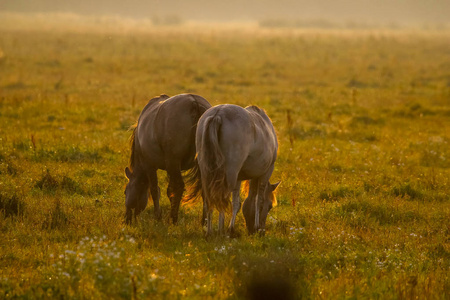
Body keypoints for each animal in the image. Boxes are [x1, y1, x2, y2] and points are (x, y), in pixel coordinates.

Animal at [125, 94, 211, 225]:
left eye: (125, 191)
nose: (126, 219)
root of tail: (193, 102)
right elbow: (169, 191)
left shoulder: (150, 165)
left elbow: (155, 190)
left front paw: (158, 216)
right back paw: (204, 221)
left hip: (173, 163)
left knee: (179, 187)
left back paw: (173, 218)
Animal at [185, 104, 280, 236]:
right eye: (270, 206)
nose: (261, 230)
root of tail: (218, 114)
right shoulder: (266, 172)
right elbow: (258, 200)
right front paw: (250, 227)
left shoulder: (238, 177)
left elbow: (236, 203)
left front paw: (231, 227)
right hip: (229, 175)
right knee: (221, 198)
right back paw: (220, 231)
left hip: (206, 173)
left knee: (209, 199)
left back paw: (209, 232)